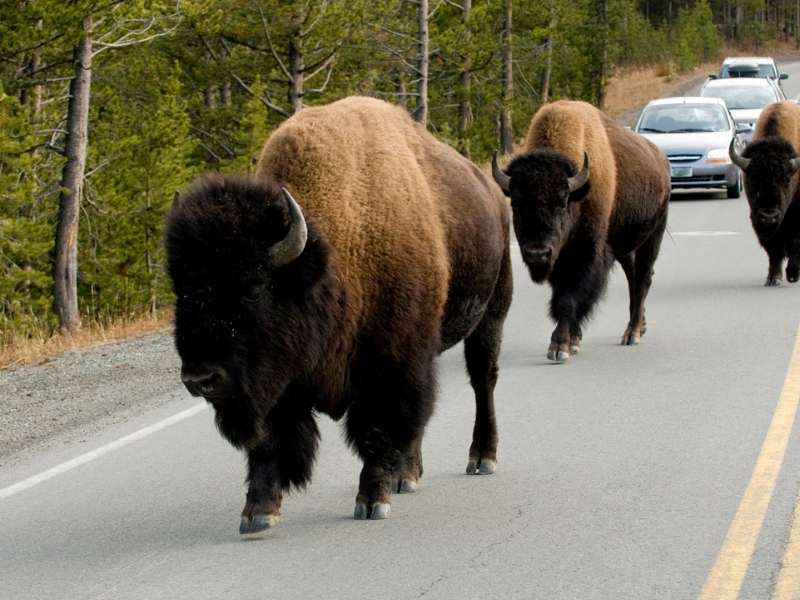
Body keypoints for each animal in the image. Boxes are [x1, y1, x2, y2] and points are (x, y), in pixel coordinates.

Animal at [166, 96, 512, 536]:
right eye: (182, 291)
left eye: (254, 286)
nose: (200, 378)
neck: (330, 257)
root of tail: (490, 190)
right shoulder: (279, 380)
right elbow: (269, 441)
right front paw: (258, 512)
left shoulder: (389, 367)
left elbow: (376, 430)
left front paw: (372, 500)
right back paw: (407, 476)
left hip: (491, 312)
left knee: (482, 381)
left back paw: (481, 458)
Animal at [490, 99, 672, 360]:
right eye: (515, 202)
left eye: (562, 201)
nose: (537, 253)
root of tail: (661, 159)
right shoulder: (559, 257)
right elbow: (562, 295)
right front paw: (573, 340)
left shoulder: (586, 254)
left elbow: (569, 298)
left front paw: (560, 347)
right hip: (625, 246)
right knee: (633, 278)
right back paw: (639, 327)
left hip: (653, 235)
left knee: (643, 279)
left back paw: (633, 333)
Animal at [728, 101, 800, 286]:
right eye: (753, 180)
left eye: (786, 179)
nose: (769, 215)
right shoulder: (757, 217)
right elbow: (772, 248)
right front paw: (773, 277)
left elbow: (795, 241)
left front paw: (792, 274)